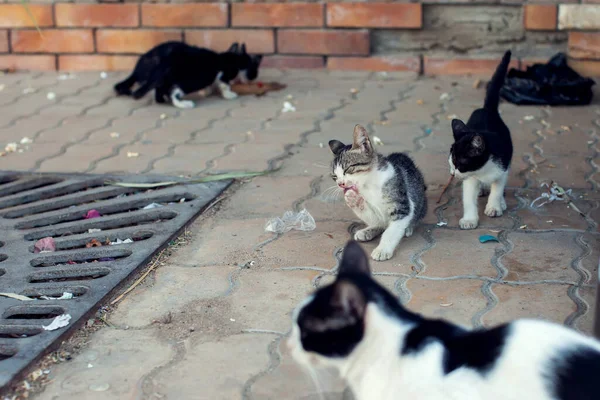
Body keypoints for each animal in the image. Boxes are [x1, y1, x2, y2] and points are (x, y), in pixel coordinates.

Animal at [113, 41, 262, 109]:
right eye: (254, 70)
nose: (254, 78)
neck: (230, 58)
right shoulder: (224, 74)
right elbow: (224, 85)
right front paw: (229, 95)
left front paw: (207, 91)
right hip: (186, 82)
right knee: (174, 93)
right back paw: (184, 104)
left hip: (164, 80)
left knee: (160, 90)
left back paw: (162, 100)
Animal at [328, 126, 426, 262]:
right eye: (334, 176)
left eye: (348, 169)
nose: (340, 184)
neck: (369, 185)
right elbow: (374, 218)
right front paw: (354, 200)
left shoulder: (402, 206)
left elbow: (391, 231)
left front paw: (382, 250)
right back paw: (367, 231)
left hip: (421, 202)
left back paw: (409, 227)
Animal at [448, 50, 512, 228]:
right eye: (451, 161)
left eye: (460, 164)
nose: (453, 173)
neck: (483, 169)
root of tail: (487, 109)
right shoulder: (470, 179)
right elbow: (469, 198)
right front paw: (470, 219)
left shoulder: (502, 168)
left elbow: (497, 189)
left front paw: (495, 206)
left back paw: (501, 201)